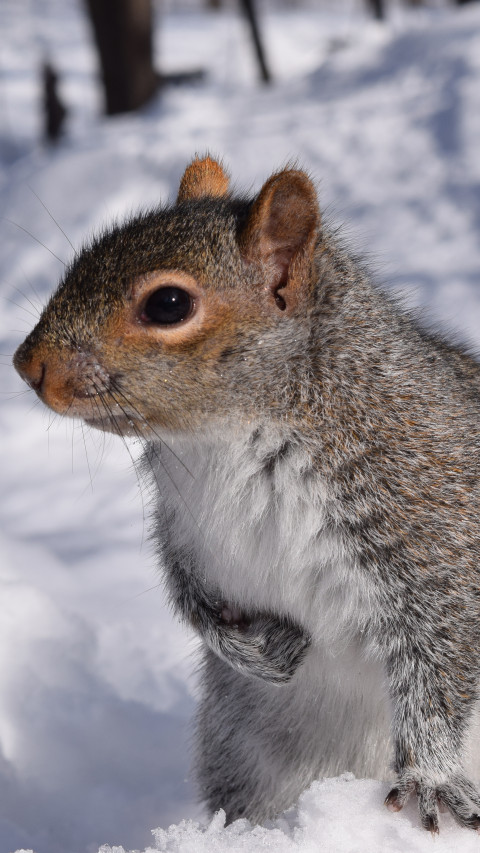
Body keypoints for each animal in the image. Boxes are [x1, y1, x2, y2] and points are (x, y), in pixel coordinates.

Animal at [13, 154, 480, 833]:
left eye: (169, 304)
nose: (26, 365)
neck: (228, 440)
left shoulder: (433, 516)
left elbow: (441, 653)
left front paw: (432, 778)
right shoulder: (183, 529)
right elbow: (189, 596)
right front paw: (256, 650)